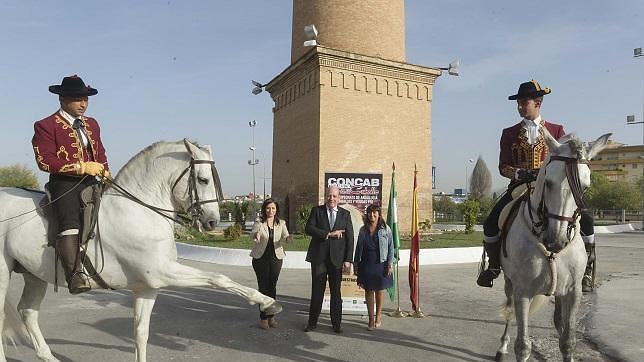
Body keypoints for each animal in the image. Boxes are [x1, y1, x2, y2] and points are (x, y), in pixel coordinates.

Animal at [0, 140, 282, 360]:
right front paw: (267, 302)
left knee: (28, 312)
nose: (212, 221)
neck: (139, 210)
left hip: (34, 275)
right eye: (203, 179)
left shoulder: (148, 287)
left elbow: (141, 333)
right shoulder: (163, 272)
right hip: (3, 275)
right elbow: (218, 278)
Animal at [498, 132, 608, 360]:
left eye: (585, 188)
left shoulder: (573, 292)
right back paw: (502, 346)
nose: (556, 239)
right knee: (509, 310)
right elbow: (523, 346)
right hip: (509, 283)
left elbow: (568, 341)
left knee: (558, 322)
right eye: (548, 182)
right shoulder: (522, 291)